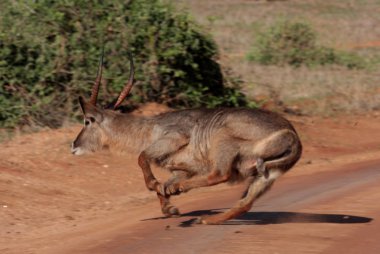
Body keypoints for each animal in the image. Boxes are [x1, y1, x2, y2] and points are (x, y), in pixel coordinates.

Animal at [71, 53, 302, 224]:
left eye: (87, 121)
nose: (73, 145)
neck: (148, 128)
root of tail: (292, 136)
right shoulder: (182, 169)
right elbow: (163, 184)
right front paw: (169, 208)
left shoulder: (174, 138)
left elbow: (142, 157)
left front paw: (156, 186)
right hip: (266, 175)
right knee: (244, 203)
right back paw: (208, 220)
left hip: (224, 140)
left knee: (219, 175)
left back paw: (184, 194)